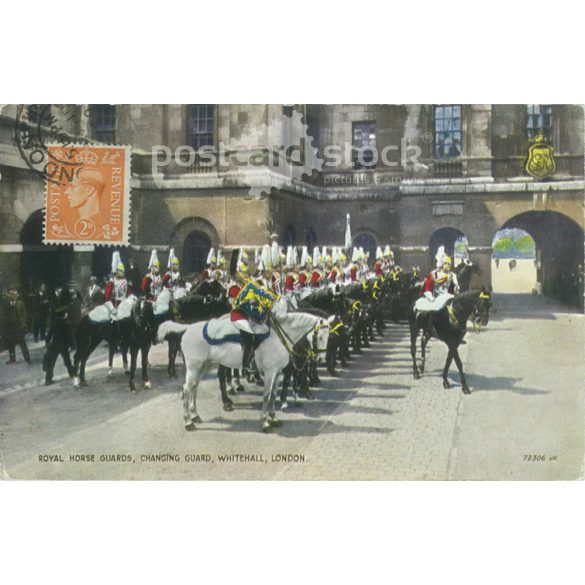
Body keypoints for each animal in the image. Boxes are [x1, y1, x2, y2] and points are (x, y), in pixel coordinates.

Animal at [156, 312, 328, 432]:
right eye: (319, 337)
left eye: (329, 337)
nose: (320, 359)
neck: (278, 338)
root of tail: (188, 328)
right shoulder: (270, 373)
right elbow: (266, 396)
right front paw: (265, 422)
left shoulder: (277, 373)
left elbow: (273, 395)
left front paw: (273, 418)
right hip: (194, 367)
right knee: (186, 390)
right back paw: (188, 422)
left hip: (202, 366)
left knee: (194, 388)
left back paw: (195, 415)